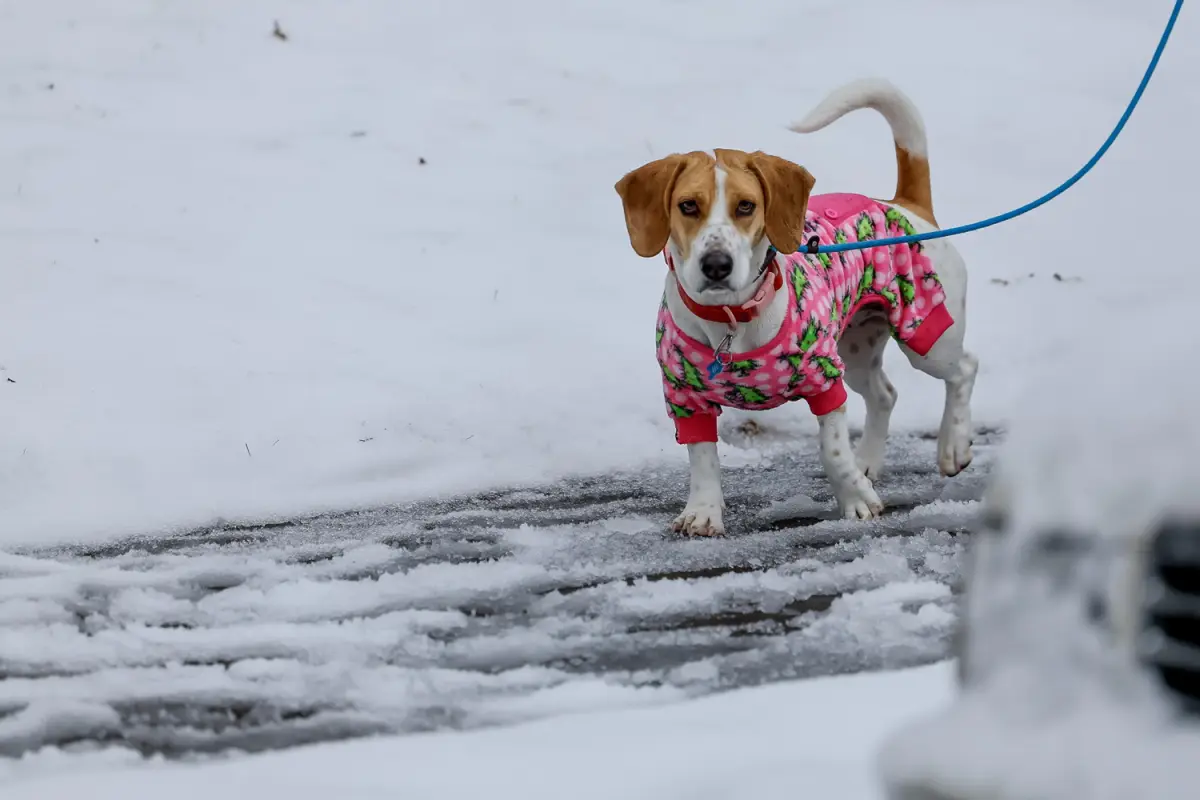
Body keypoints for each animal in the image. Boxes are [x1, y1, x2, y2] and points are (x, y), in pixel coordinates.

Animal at [619, 79, 974, 537]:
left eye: (746, 206)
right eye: (688, 205)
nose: (716, 264)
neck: (732, 319)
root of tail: (904, 205)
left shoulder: (825, 381)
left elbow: (833, 450)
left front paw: (855, 500)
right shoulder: (684, 396)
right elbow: (703, 459)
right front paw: (703, 512)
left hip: (926, 336)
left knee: (965, 368)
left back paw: (953, 445)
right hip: (855, 350)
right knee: (884, 395)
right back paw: (868, 463)